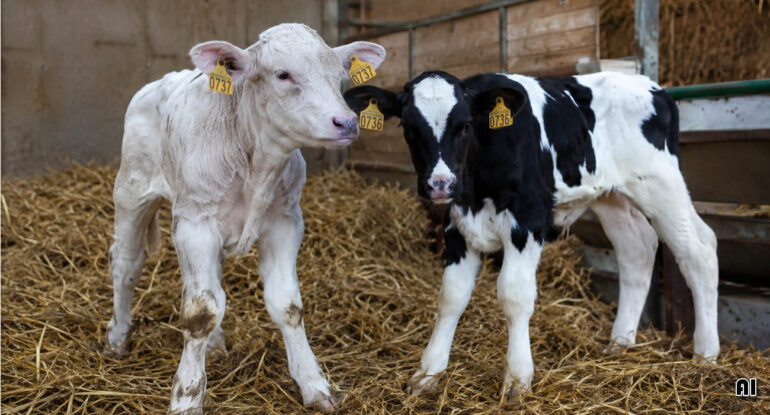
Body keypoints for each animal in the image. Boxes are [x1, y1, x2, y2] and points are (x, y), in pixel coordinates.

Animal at [104, 23, 385, 414]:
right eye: (283, 74)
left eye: (338, 75)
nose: (345, 123)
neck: (258, 163)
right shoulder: (195, 224)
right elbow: (201, 312)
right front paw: (186, 397)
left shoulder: (285, 222)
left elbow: (287, 305)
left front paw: (314, 384)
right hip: (132, 191)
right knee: (126, 264)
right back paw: (117, 338)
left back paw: (215, 347)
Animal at [344, 71, 719, 399]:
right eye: (409, 127)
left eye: (464, 125)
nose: (441, 184)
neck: (477, 186)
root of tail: (653, 87)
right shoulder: (457, 226)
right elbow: (450, 297)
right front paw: (427, 373)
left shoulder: (528, 220)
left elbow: (514, 295)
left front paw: (517, 379)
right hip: (611, 196)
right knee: (637, 249)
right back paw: (620, 344)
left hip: (660, 183)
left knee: (699, 248)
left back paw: (706, 355)